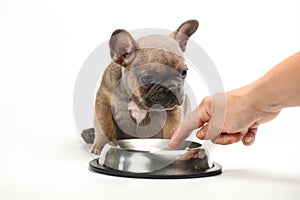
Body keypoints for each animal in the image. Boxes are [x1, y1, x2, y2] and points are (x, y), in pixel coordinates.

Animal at [82, 19, 199, 154]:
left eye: (184, 73)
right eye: (147, 78)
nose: (172, 88)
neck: (137, 101)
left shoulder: (174, 112)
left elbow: (172, 131)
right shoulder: (103, 103)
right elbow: (104, 127)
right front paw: (102, 145)